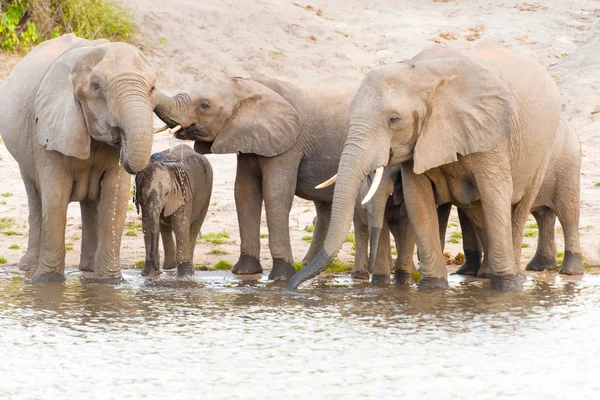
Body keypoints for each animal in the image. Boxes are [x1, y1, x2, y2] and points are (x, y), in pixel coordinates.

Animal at [0, 35, 157, 284]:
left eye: (152, 88)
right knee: (35, 196)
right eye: (97, 86)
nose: (121, 138)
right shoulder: (48, 129)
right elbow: (55, 196)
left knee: (91, 203)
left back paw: (88, 269)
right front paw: (47, 281)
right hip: (24, 152)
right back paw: (28, 268)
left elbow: (115, 195)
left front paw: (110, 283)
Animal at [135, 145, 213, 278]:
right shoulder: (144, 202)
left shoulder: (182, 194)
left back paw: (189, 271)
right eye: (142, 193)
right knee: (164, 227)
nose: (158, 271)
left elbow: (180, 224)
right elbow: (147, 224)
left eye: (167, 194)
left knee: (194, 226)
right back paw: (169, 267)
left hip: (206, 193)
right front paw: (148, 274)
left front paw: (185, 276)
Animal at [154, 76, 356, 282]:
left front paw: (280, 277)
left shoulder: (288, 143)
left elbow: (276, 194)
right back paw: (309, 263)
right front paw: (245, 272)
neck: (252, 84)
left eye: (204, 105)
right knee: (324, 206)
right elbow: (244, 193)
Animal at [290, 43, 564, 290]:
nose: (291, 288)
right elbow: (418, 201)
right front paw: (432, 288)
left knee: (517, 210)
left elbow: (495, 195)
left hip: (543, 148)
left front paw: (506, 288)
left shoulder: (488, 131)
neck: (421, 72)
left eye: (393, 119)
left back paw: (514, 280)